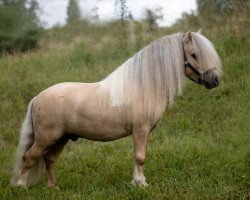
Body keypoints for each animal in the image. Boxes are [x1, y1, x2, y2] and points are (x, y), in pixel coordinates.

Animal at [11, 30, 223, 188]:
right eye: (194, 54)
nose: (215, 80)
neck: (144, 86)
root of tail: (37, 98)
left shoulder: (144, 133)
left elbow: (141, 156)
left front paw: (139, 181)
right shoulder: (140, 130)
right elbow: (139, 157)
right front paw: (140, 184)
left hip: (61, 138)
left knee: (49, 159)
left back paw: (53, 187)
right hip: (46, 138)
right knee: (29, 157)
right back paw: (21, 185)